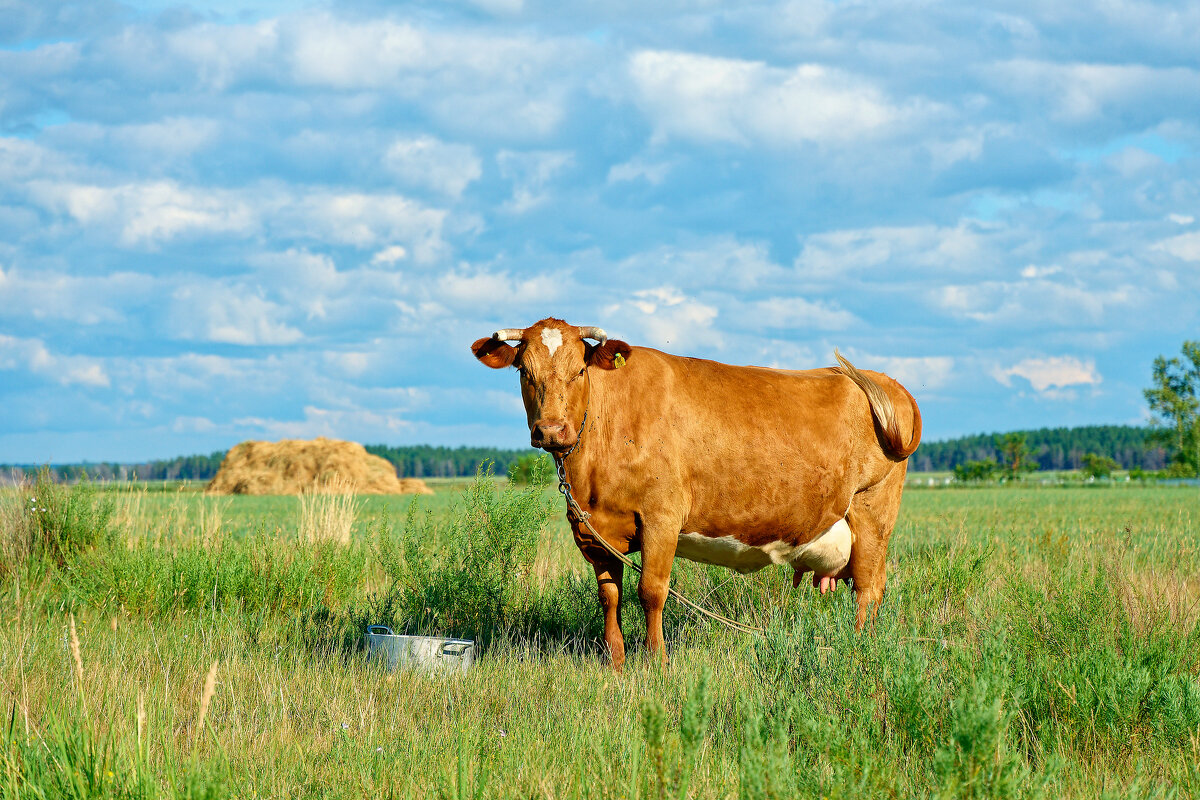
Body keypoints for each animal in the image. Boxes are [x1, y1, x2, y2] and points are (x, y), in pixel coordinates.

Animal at [468, 319, 916, 671]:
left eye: (579, 370)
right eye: (524, 371)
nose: (551, 430)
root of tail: (885, 381)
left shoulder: (661, 519)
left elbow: (651, 592)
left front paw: (657, 663)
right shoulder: (593, 532)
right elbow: (609, 596)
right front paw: (616, 664)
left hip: (873, 510)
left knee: (869, 589)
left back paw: (858, 651)